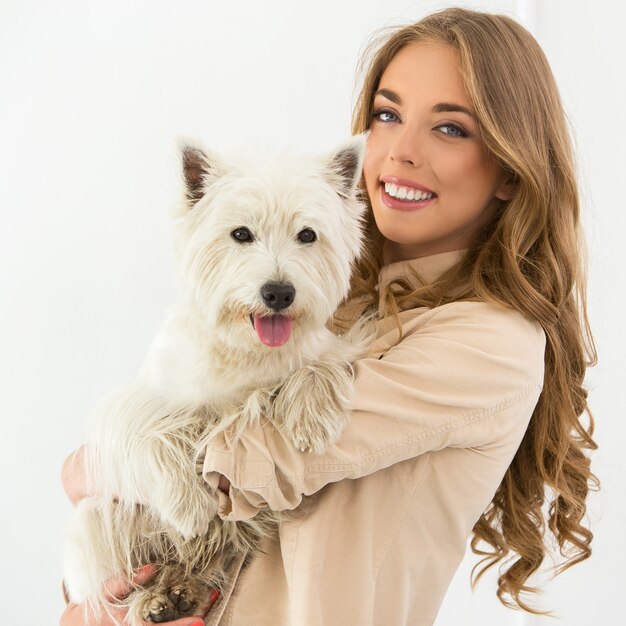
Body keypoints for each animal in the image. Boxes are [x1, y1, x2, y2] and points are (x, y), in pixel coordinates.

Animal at [64, 134, 370, 620]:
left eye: (307, 234)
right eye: (240, 233)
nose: (278, 293)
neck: (246, 352)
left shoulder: (335, 347)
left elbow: (320, 365)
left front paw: (310, 420)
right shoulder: (136, 401)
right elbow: (151, 430)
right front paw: (190, 506)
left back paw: (180, 591)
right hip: (92, 526)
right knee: (127, 576)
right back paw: (155, 598)